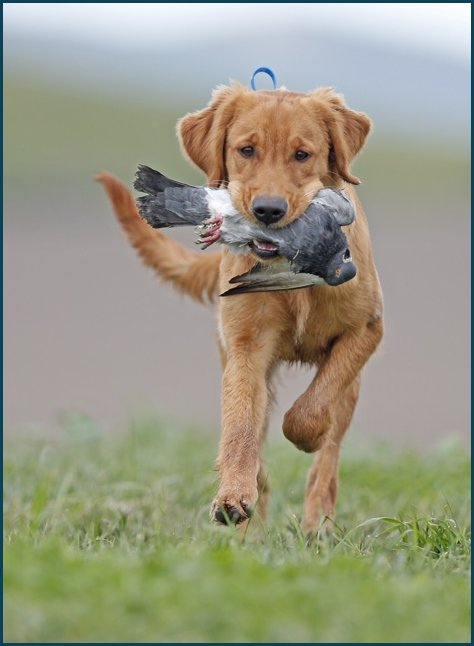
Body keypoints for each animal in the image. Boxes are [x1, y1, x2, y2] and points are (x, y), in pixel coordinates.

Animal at [98, 82, 384, 536]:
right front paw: (233, 498)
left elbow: (313, 410)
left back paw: (317, 526)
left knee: (328, 458)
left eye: (302, 154)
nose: (267, 211)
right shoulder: (246, 349)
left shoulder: (368, 328)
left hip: (351, 383)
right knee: (259, 449)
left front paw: (307, 437)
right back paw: (250, 530)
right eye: (246, 150)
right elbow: (240, 430)